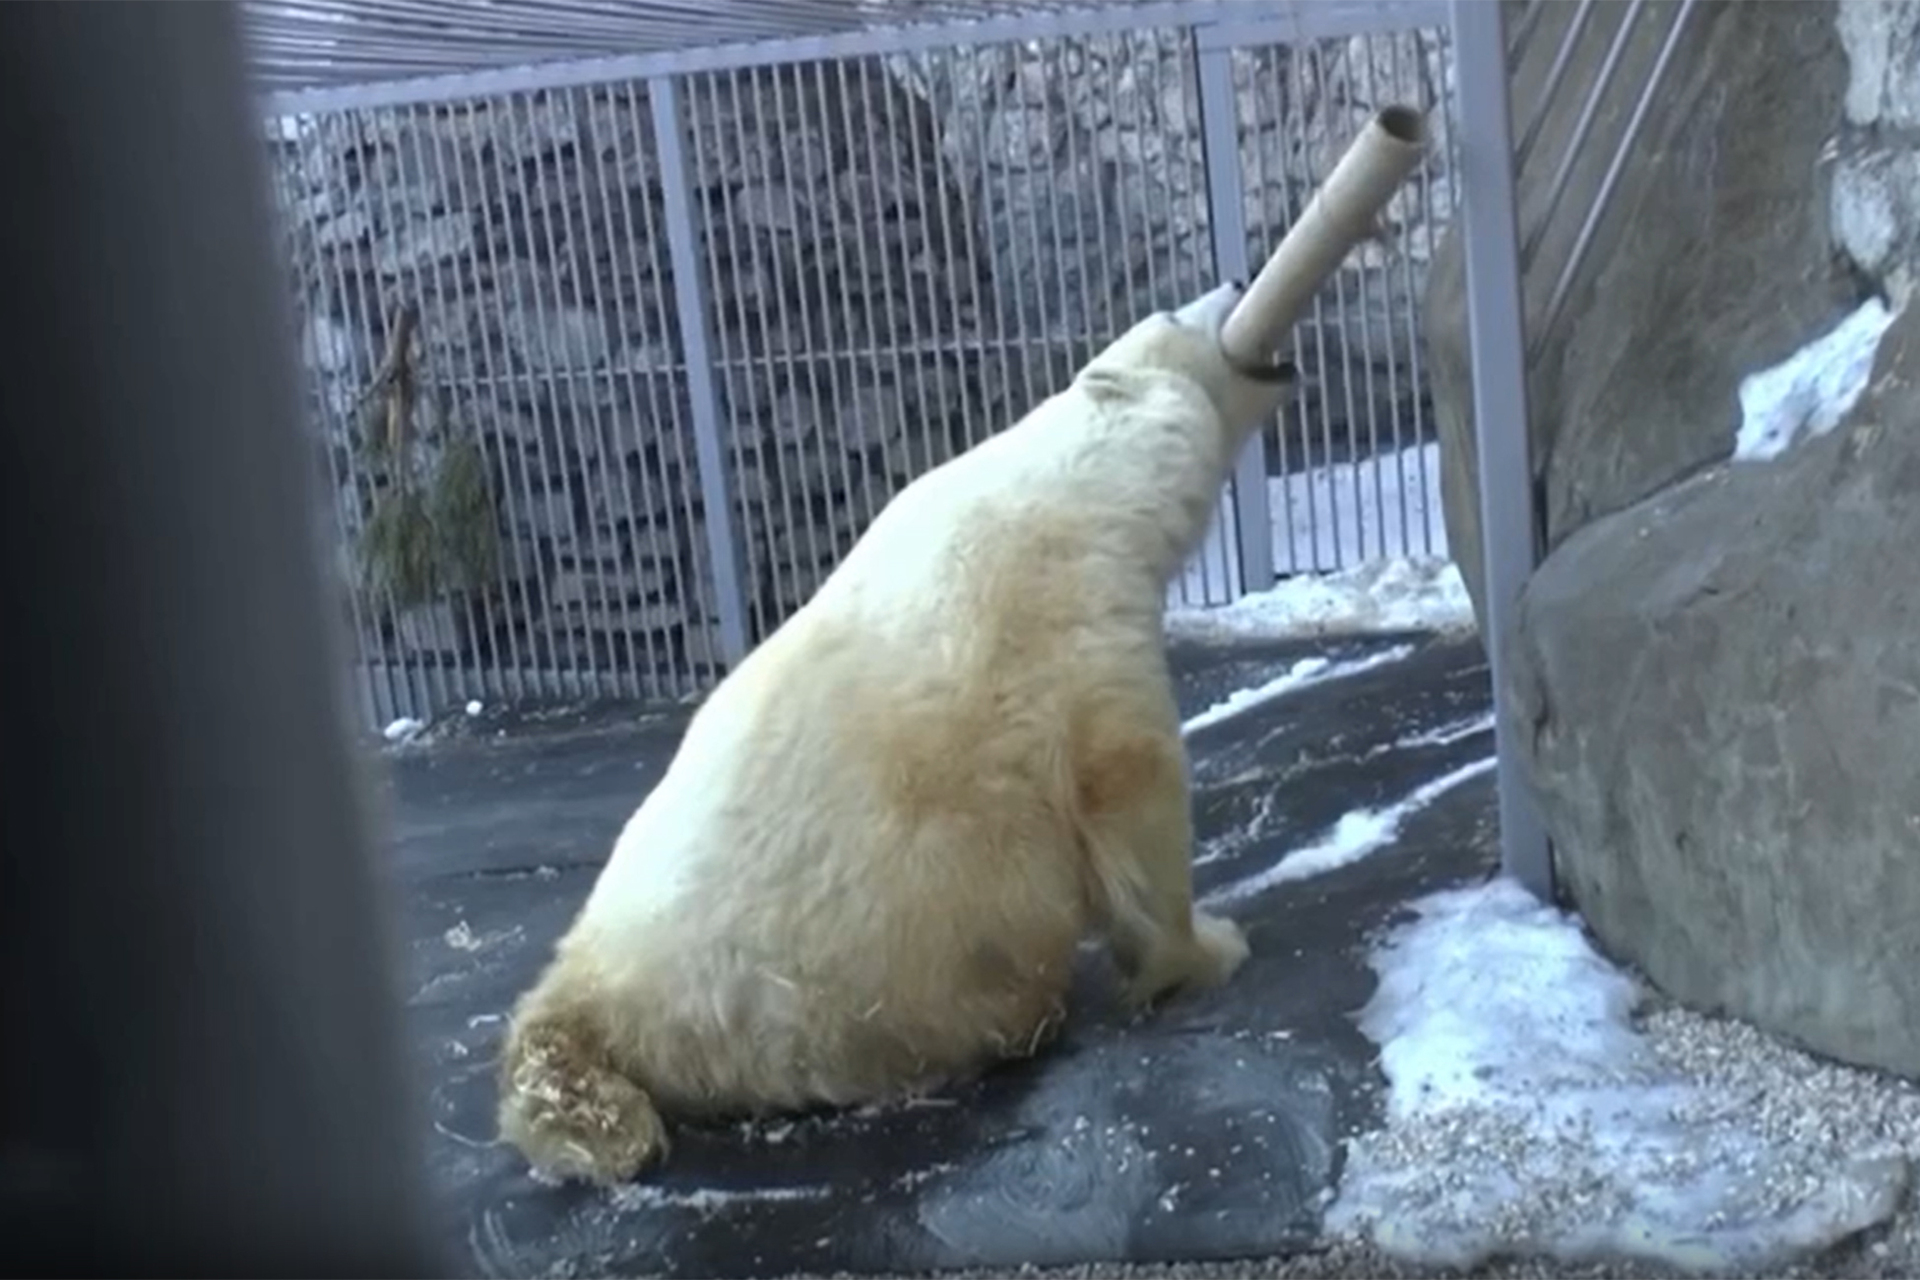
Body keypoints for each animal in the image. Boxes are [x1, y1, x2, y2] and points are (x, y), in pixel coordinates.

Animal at [503, 278, 1297, 1182]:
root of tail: (584, 989)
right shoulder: (1070, 614)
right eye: (1172, 313)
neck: (1073, 482)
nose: (1234, 284)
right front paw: (1207, 948)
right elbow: (1129, 786)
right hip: (809, 993)